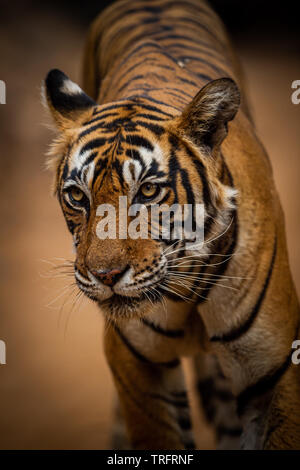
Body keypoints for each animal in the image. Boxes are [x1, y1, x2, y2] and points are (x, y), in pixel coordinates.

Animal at [43, 0, 300, 450]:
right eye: (77, 196)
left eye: (147, 191)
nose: (105, 275)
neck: (188, 287)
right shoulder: (138, 368)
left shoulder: (273, 369)